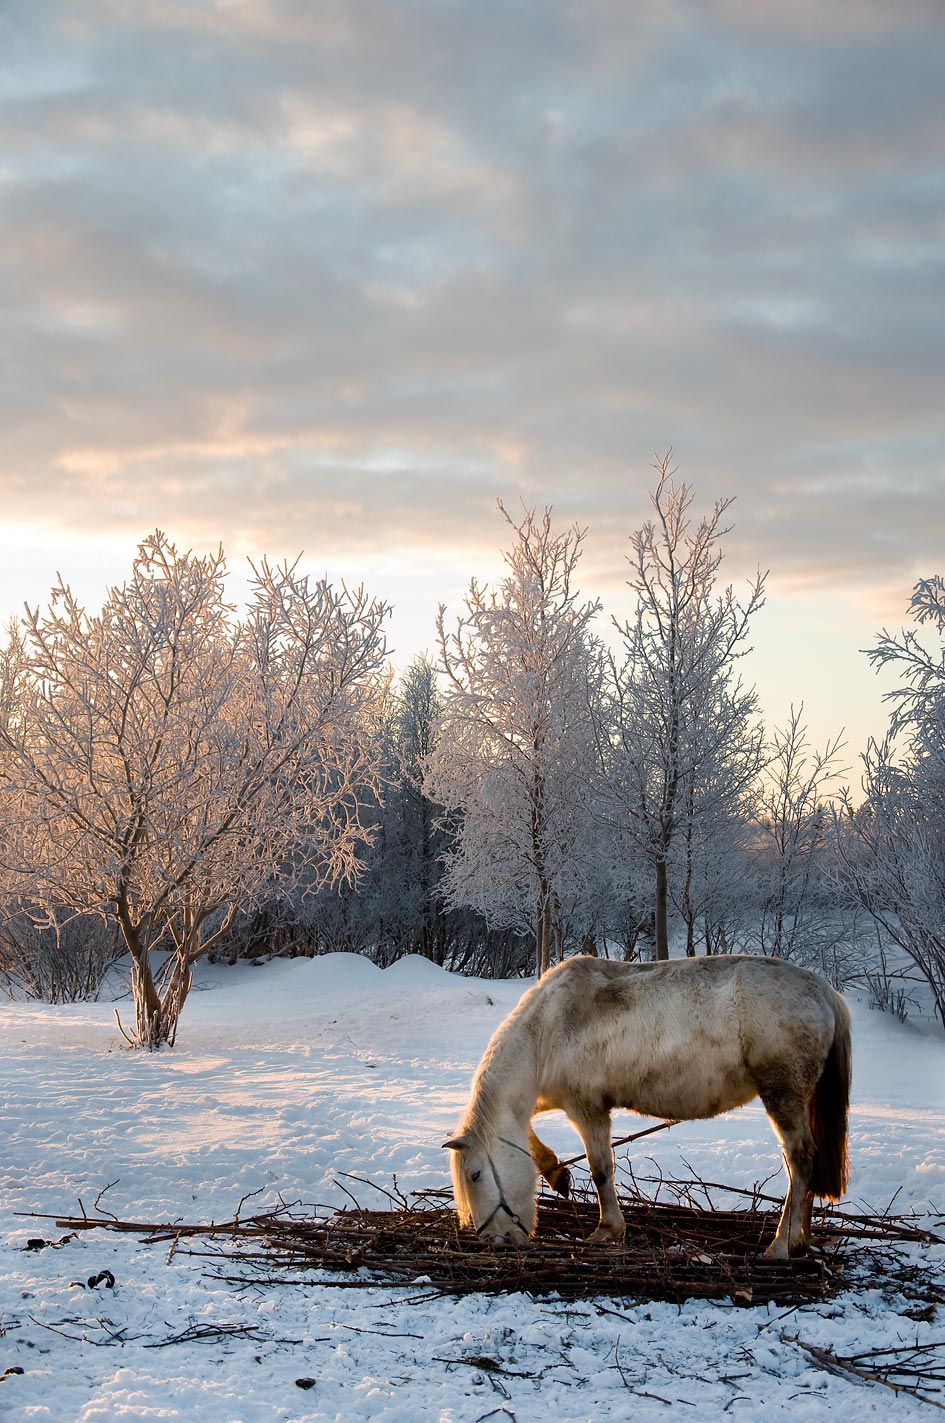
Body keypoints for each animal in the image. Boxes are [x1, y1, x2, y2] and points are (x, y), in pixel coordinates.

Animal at [446, 950, 853, 1263]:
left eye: (476, 1175)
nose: (493, 1240)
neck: (548, 1028)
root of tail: (822, 990)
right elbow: (529, 1135)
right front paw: (557, 1174)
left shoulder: (587, 1107)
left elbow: (601, 1169)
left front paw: (608, 1229)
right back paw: (800, 1239)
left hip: (783, 1095)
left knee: (800, 1160)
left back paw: (781, 1245)